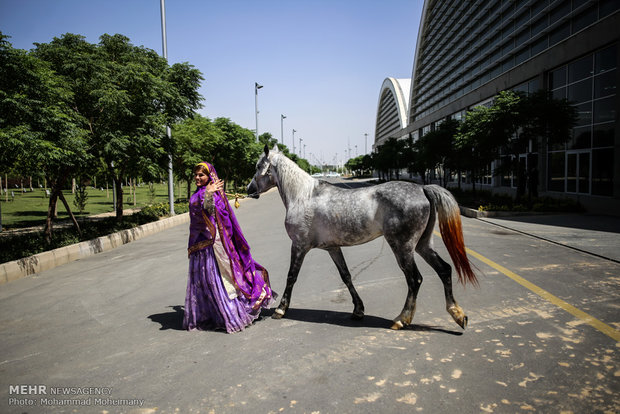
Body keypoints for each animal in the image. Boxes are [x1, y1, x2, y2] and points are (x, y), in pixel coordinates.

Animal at [248, 146, 480, 330]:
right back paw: (458, 315)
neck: (304, 196)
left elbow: (291, 277)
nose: (249, 190)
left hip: (402, 247)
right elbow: (346, 276)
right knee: (444, 270)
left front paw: (281, 309)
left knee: (415, 279)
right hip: (422, 245)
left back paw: (401, 319)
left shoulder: (299, 245)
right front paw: (358, 310)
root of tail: (423, 188)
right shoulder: (333, 248)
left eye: (258, 166)